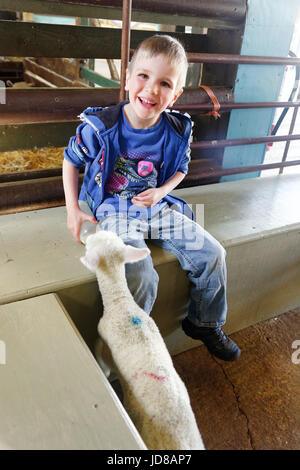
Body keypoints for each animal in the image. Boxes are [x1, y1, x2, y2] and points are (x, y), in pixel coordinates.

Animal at [81, 231, 205, 452]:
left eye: (92, 244)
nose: (89, 235)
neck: (121, 302)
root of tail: (182, 441)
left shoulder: (102, 333)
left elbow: (98, 348)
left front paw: (104, 371)